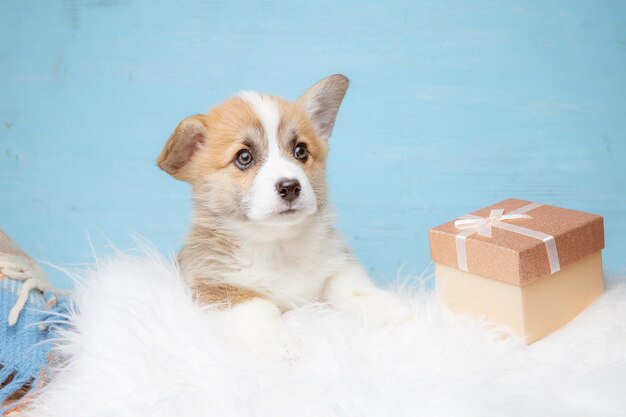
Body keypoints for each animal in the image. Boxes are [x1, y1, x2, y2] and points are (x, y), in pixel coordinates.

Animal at [156, 74, 410, 334]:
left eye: (300, 151)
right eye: (244, 157)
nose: (290, 187)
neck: (278, 245)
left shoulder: (338, 263)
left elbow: (349, 286)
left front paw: (396, 311)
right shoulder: (213, 286)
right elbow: (258, 308)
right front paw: (283, 343)